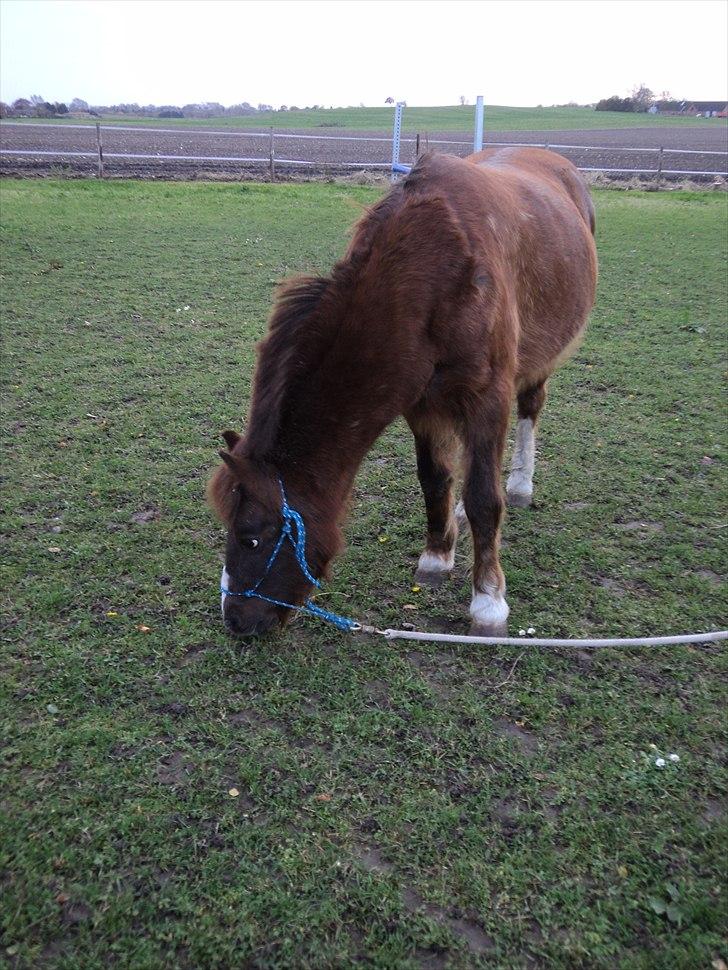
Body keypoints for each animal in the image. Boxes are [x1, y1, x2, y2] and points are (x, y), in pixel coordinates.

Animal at [208, 148, 597, 638]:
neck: (433, 273)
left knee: (529, 411)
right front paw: (436, 557)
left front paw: (489, 603)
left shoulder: (487, 398)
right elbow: (435, 479)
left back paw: (521, 485)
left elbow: (485, 498)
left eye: (252, 538)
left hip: (537, 363)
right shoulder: (422, 405)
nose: (235, 620)